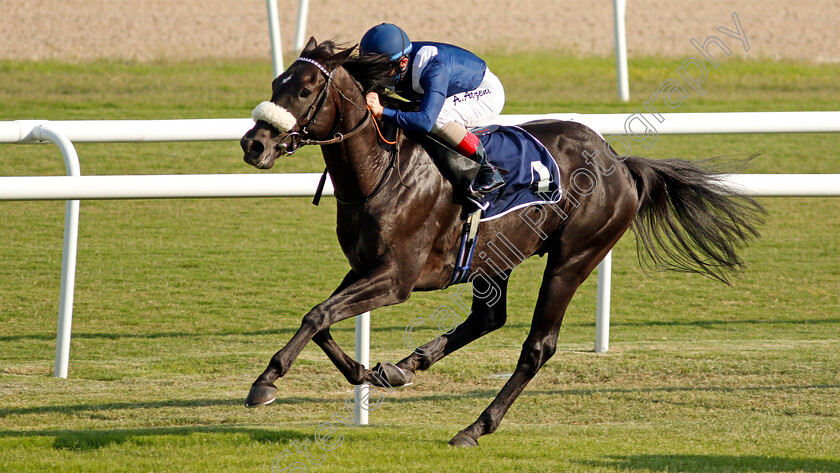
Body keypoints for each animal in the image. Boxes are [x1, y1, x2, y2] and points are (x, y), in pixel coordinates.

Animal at [240, 37, 764, 446]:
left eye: (305, 89)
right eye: (276, 84)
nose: (254, 144)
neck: (381, 170)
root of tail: (620, 161)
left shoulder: (396, 278)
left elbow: (317, 315)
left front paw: (265, 383)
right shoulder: (365, 267)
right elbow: (322, 320)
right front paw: (367, 372)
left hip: (574, 256)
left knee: (537, 347)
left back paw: (475, 426)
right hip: (495, 256)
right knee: (488, 318)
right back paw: (408, 364)